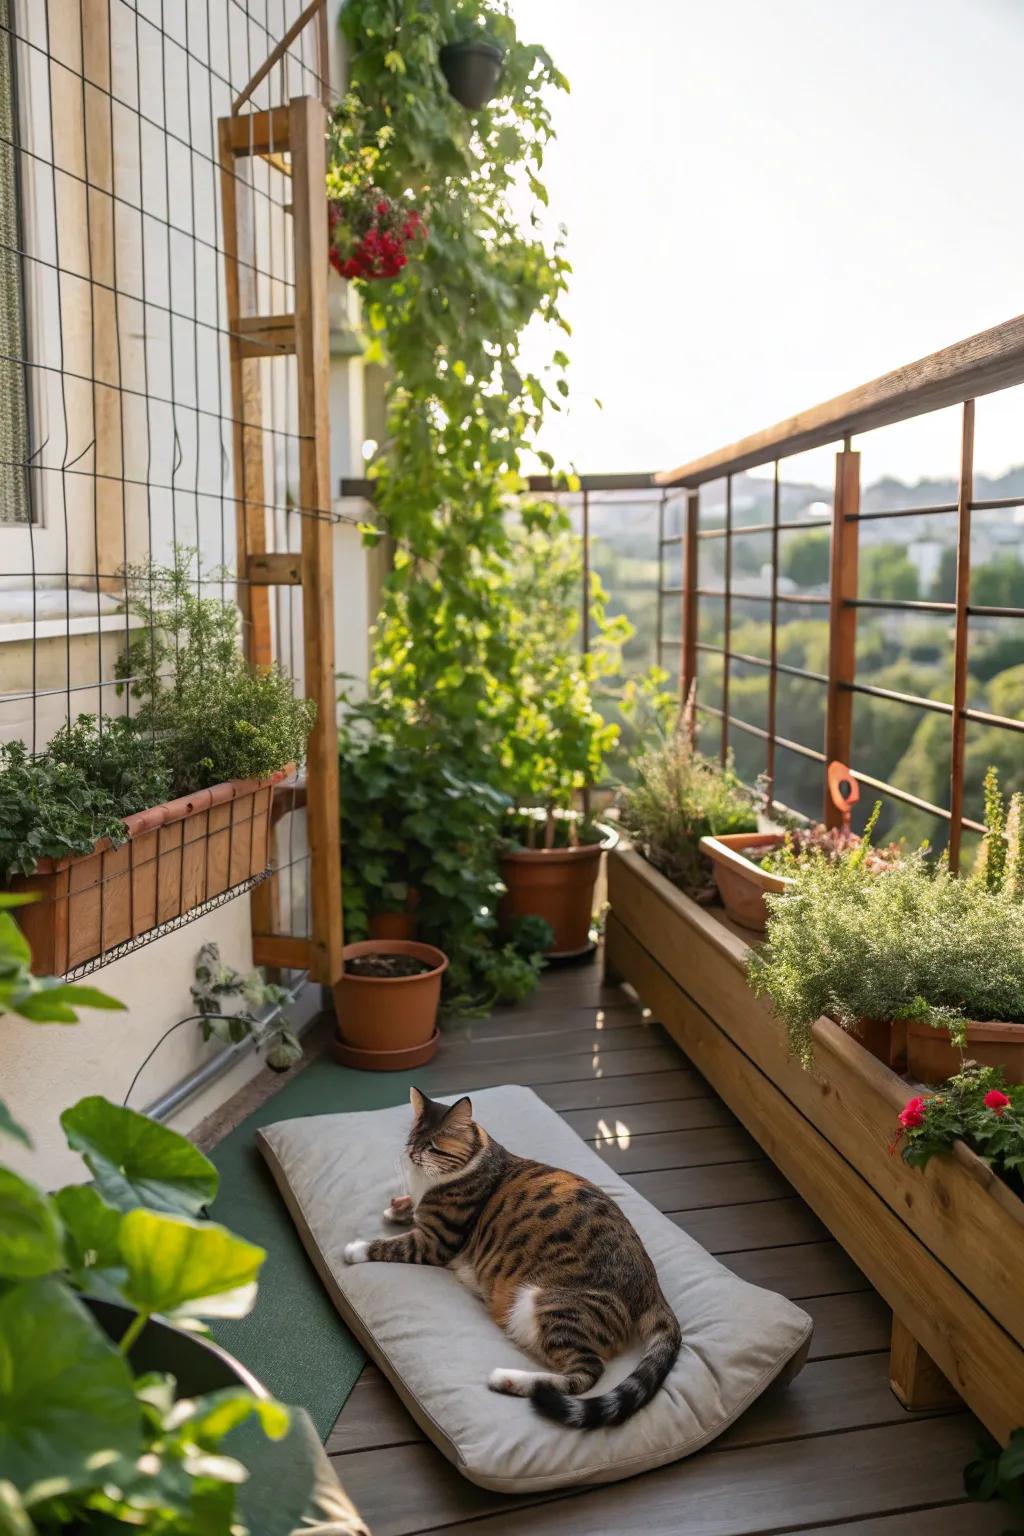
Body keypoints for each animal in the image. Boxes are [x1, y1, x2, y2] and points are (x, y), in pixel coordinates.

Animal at [343, 1081, 681, 1425]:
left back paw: (508, 1379)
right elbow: (408, 1210)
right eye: (412, 1140)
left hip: (552, 1305)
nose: (412, 1154)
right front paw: (397, 1207)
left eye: (433, 1146)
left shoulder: (436, 1241)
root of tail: (652, 1288)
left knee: (585, 1374)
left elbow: (392, 1244)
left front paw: (355, 1248)